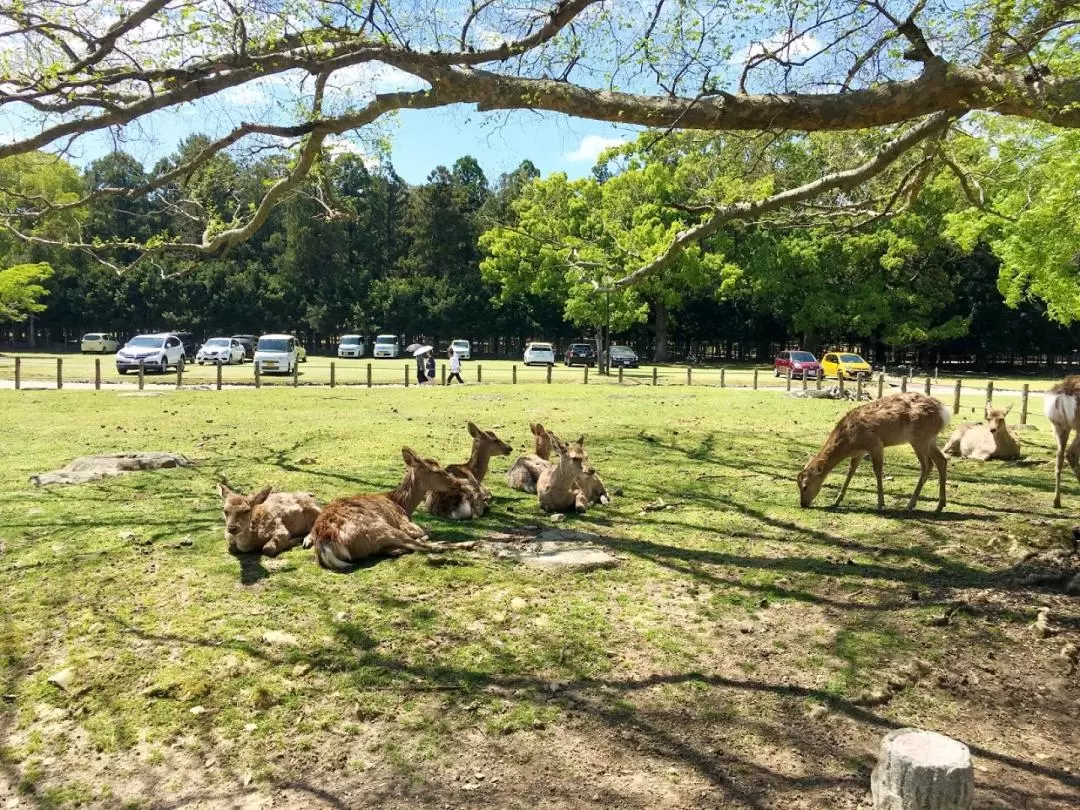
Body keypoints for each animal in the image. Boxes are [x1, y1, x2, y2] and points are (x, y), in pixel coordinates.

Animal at [302, 451, 462, 570]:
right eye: (436, 470)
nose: (457, 483)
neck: (401, 504)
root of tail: (325, 544)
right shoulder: (404, 522)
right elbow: (425, 531)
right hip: (380, 527)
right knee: (425, 546)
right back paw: (465, 544)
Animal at [799, 393, 950, 514]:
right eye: (797, 484)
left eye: (805, 486)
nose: (803, 504)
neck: (850, 442)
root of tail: (944, 413)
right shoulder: (860, 452)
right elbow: (851, 471)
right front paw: (836, 501)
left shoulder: (875, 444)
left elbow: (877, 471)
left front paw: (880, 504)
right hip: (930, 439)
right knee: (941, 460)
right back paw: (939, 505)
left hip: (919, 438)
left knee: (927, 466)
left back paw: (910, 504)